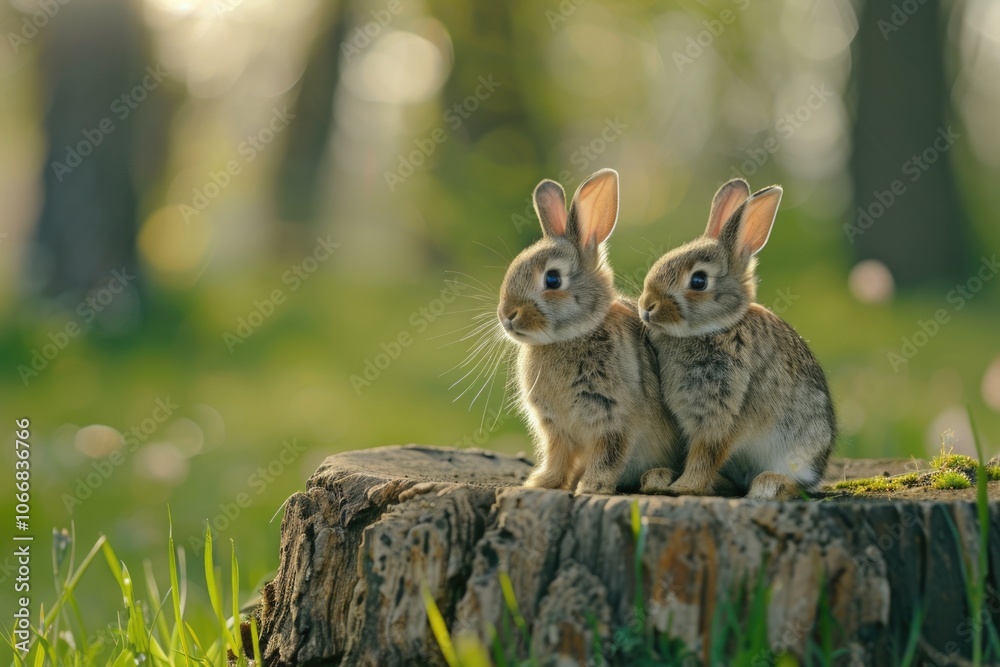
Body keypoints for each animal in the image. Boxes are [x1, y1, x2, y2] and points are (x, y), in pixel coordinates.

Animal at [498, 168, 683, 495]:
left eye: (553, 279)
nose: (506, 316)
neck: (570, 337)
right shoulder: (555, 427)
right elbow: (557, 457)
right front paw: (540, 483)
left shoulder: (614, 419)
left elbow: (608, 455)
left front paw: (591, 487)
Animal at [636, 179, 836, 500]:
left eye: (698, 281)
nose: (647, 306)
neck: (716, 328)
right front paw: (674, 483)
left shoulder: (721, 413)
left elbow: (705, 454)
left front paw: (684, 487)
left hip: (797, 450)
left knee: (797, 483)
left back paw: (769, 485)